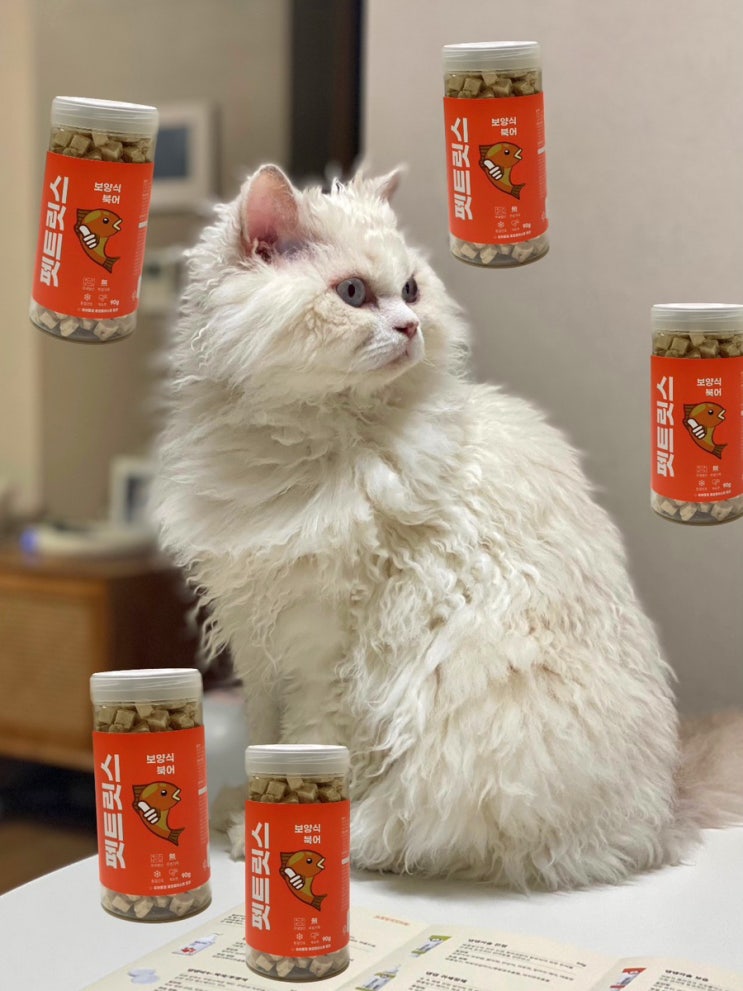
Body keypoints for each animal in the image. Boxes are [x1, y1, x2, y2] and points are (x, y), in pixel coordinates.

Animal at [151, 164, 743, 890]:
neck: (299, 447)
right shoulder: (259, 645)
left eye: (410, 289)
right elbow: (266, 737)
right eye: (353, 294)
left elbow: (307, 746)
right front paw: (245, 804)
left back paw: (350, 837)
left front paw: (263, 825)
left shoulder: (323, 651)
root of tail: (665, 809)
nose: (410, 327)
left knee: (424, 834)